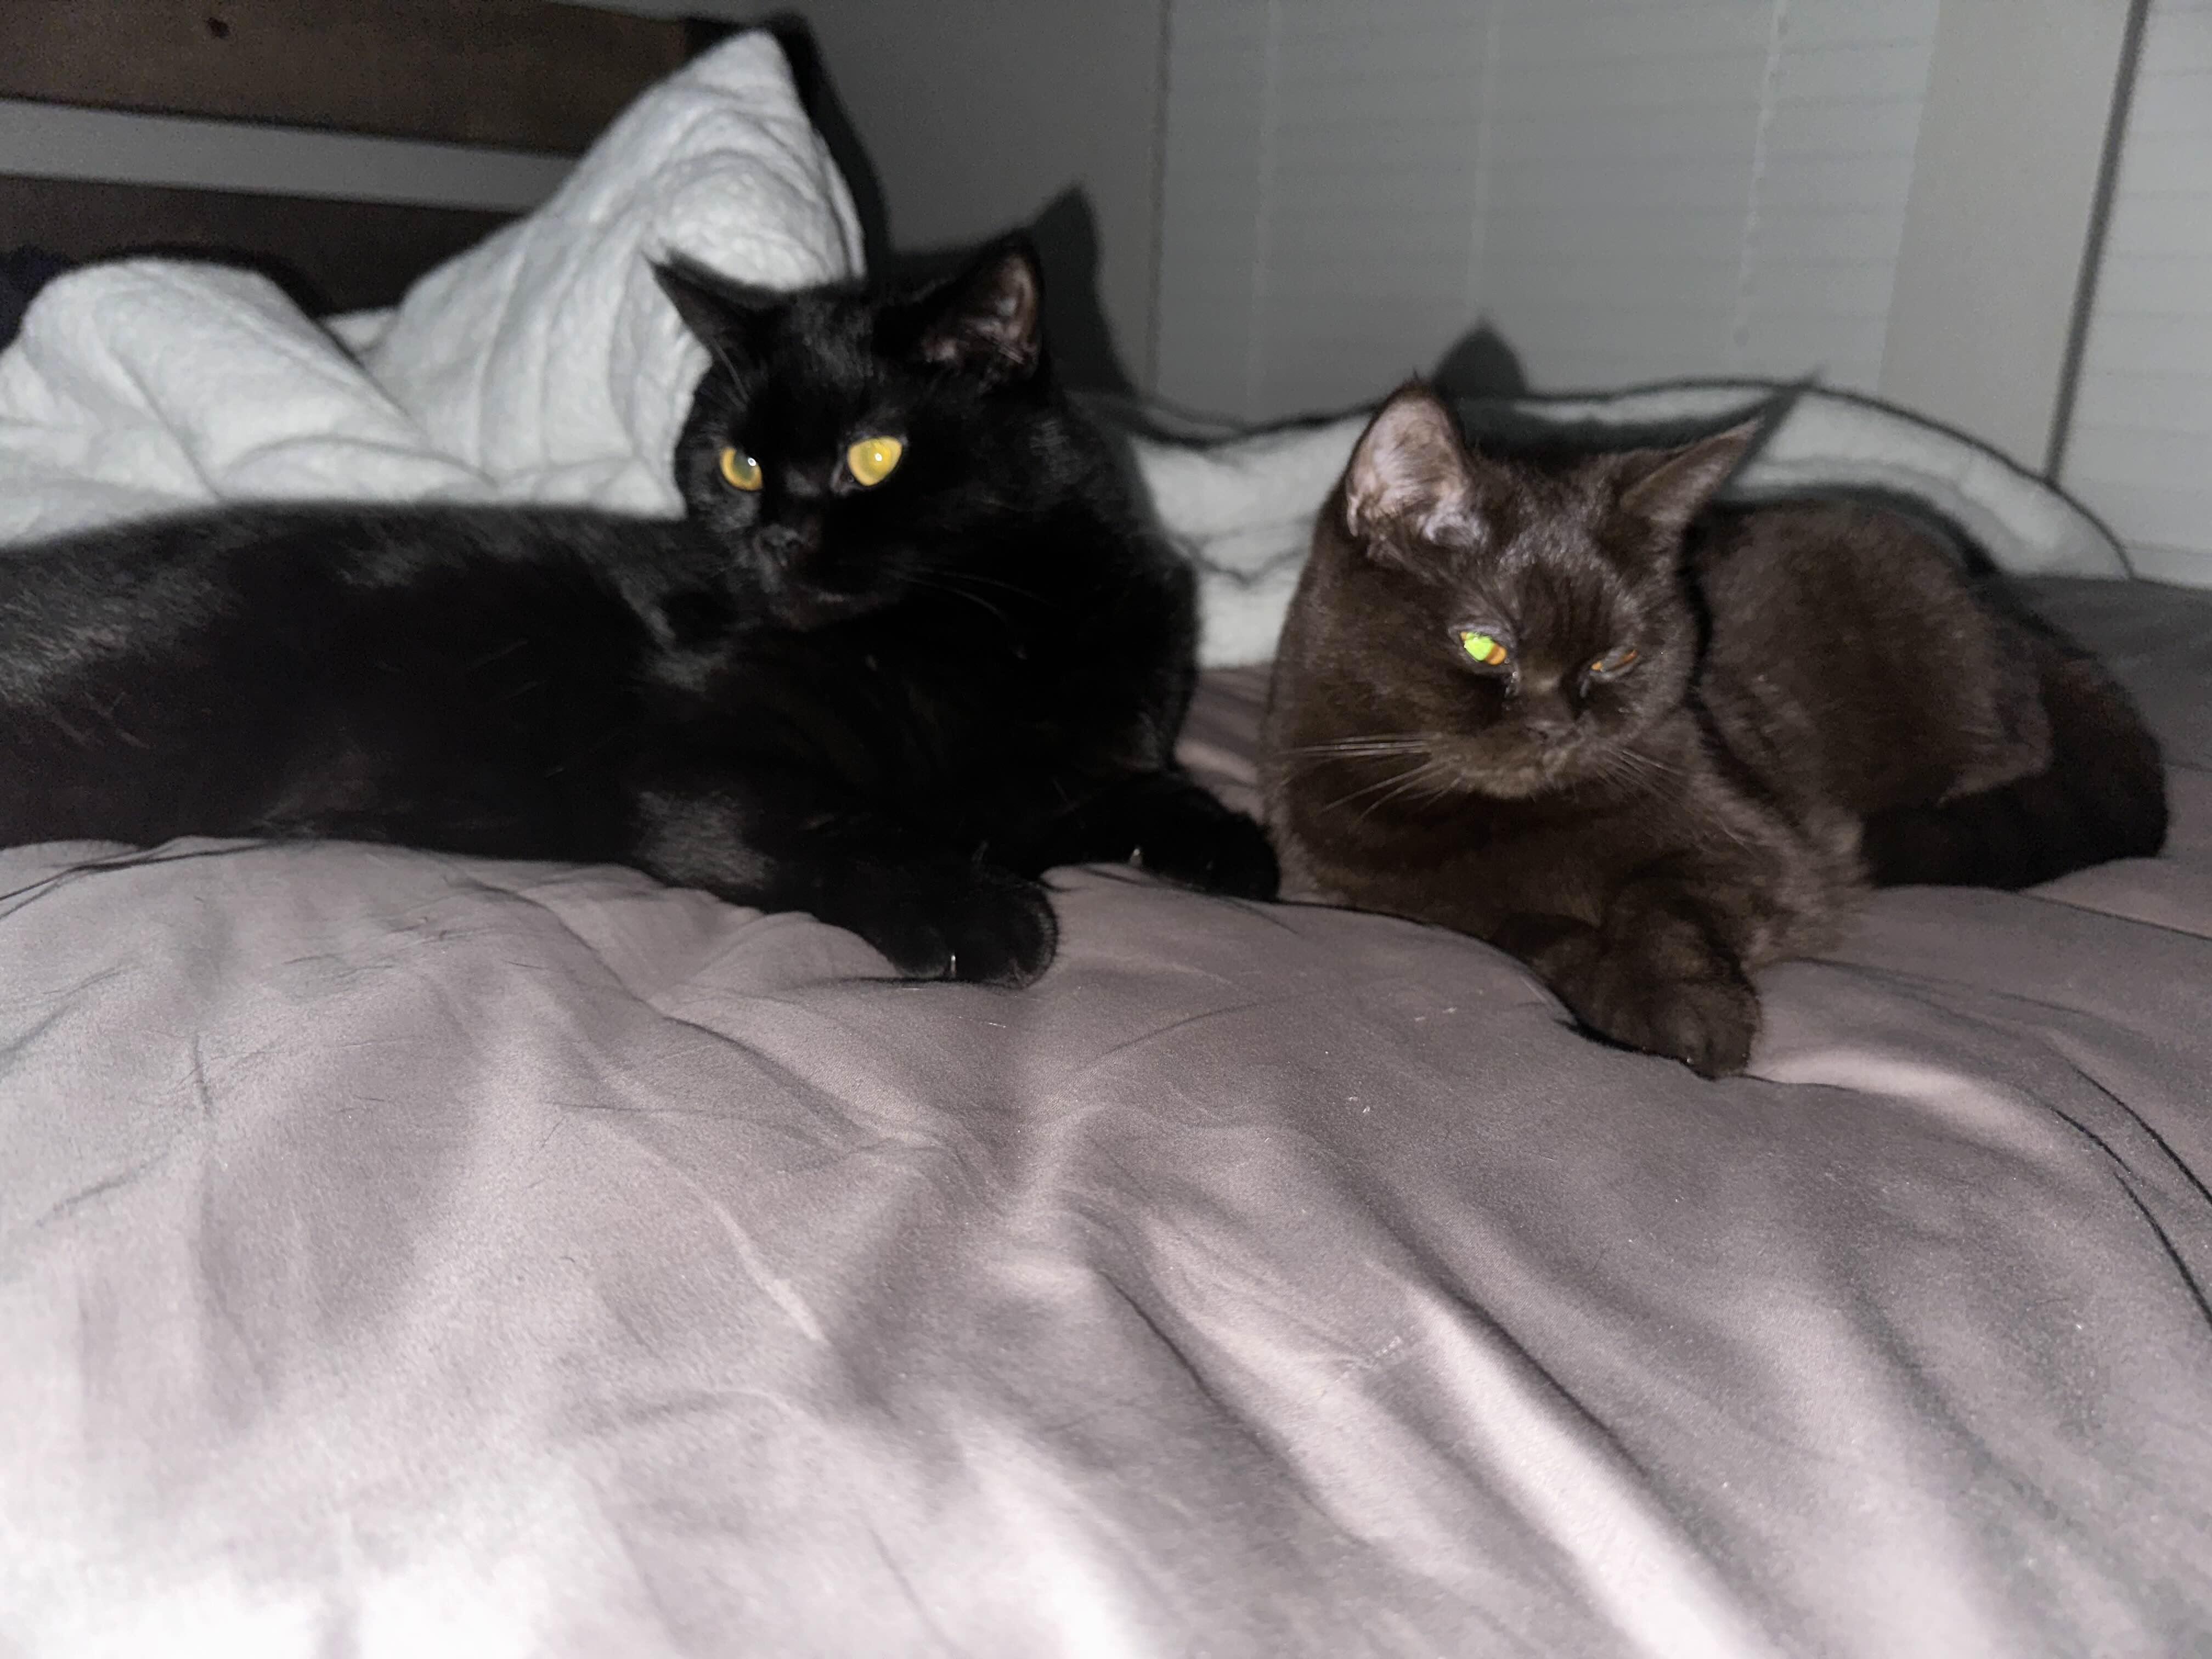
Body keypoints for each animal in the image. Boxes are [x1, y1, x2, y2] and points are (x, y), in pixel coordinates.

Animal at [0, 235, 1278, 984]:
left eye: (872, 457)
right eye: (738, 466)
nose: (774, 539)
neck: (985, 626)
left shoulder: (1060, 773)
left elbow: (1131, 788)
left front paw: (1234, 846)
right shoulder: (684, 760)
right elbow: (833, 824)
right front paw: (973, 912)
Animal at [1259, 382, 2165, 1076]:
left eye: (1616, 656)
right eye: (1486, 645)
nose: (1557, 727)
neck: (1495, 819)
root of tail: (2004, 605)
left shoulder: (1760, 849)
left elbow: (1659, 900)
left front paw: (1690, 1010)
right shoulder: (1368, 896)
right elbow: (1530, 934)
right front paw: (1634, 997)